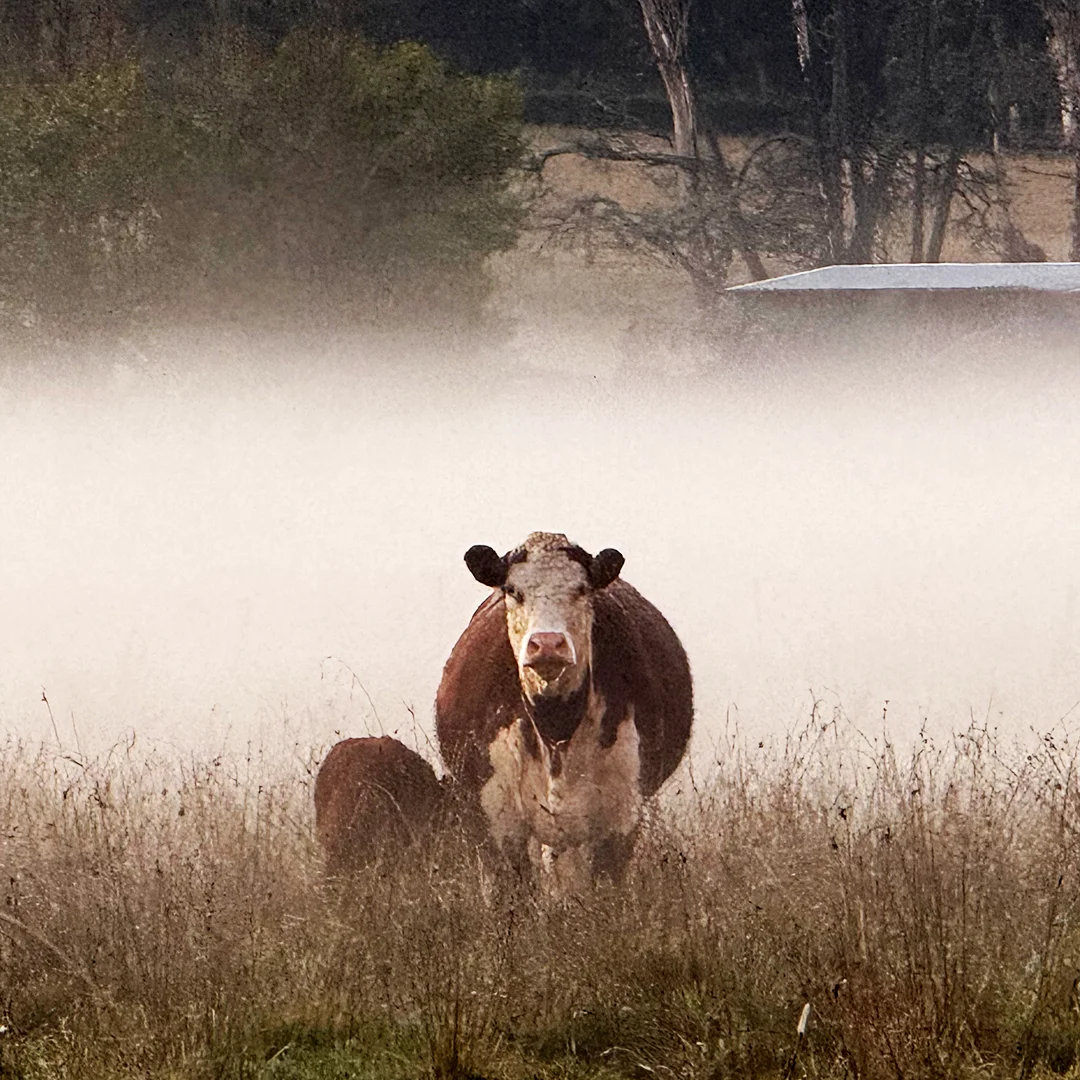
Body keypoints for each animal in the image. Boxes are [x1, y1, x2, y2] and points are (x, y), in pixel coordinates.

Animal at [435, 531, 693, 894]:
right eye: (513, 590)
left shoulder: (620, 817)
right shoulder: (497, 817)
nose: (547, 643)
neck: (556, 725)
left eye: (581, 590)